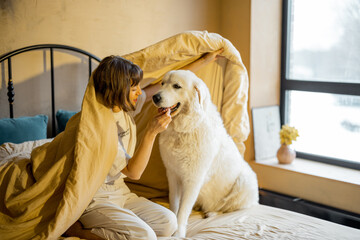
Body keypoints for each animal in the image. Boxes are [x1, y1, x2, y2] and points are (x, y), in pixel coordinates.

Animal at [152, 70, 258, 238]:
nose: (155, 97)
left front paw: (178, 233)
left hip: (244, 182)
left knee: (227, 208)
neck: (185, 129)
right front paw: (173, 223)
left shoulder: (193, 180)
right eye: (162, 83)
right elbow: (174, 205)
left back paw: (211, 212)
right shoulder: (172, 175)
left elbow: (183, 211)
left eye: (176, 86)